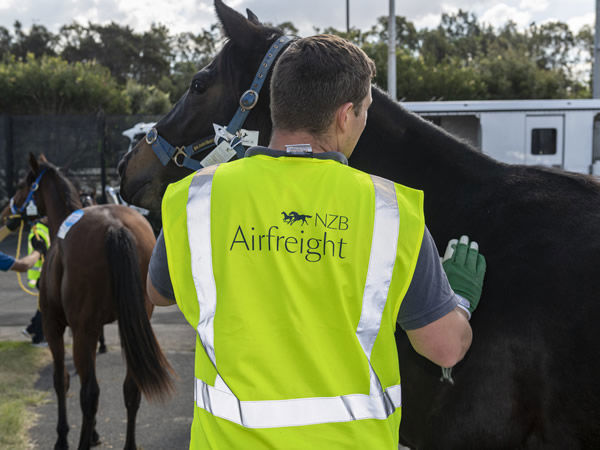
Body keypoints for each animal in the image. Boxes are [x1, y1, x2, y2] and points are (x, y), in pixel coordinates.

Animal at [14, 153, 173, 448]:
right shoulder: (95, 327)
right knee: (131, 389)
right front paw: (95, 432)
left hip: (81, 331)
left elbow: (61, 380)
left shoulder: (56, 326)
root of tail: (115, 226)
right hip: (128, 325)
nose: (12, 207)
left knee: (89, 393)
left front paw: (63, 437)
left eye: (23, 183)